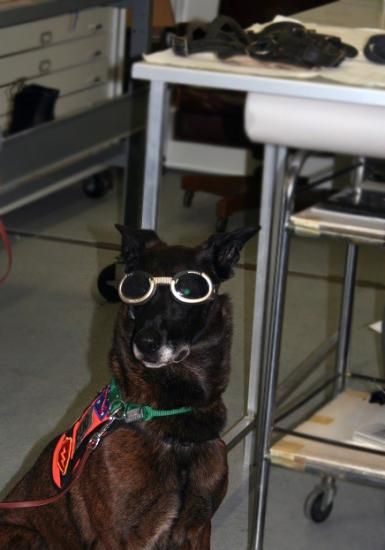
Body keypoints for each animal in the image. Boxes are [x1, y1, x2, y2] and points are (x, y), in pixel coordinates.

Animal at [0, 226, 255, 548]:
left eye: (188, 290)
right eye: (136, 288)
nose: (146, 343)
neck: (170, 426)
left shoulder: (198, 528)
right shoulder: (119, 539)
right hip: (28, 535)